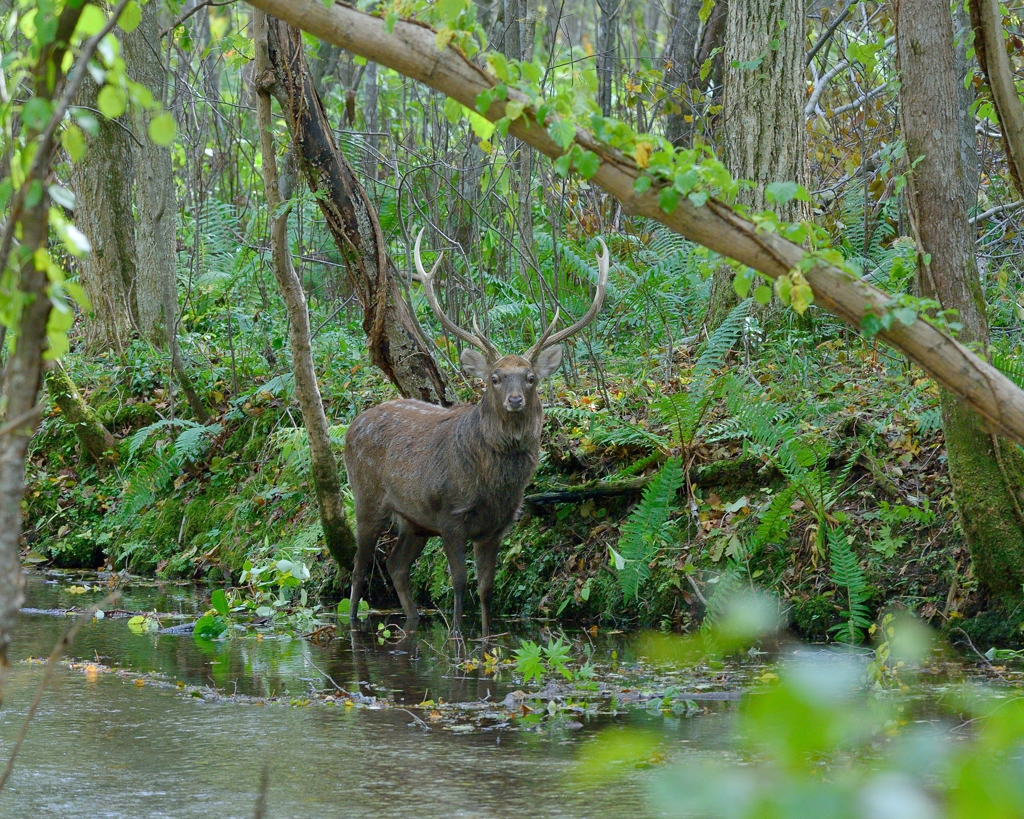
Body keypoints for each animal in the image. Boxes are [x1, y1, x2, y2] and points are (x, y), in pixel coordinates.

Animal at [348, 230, 606, 638]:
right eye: (495, 378)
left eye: (530, 378)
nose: (515, 399)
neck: (491, 486)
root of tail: (351, 426)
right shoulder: (450, 516)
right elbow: (458, 582)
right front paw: (457, 635)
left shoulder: (496, 526)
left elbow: (486, 588)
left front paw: (485, 636)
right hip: (367, 498)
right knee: (359, 568)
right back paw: (355, 623)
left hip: (415, 522)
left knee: (395, 565)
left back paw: (413, 620)